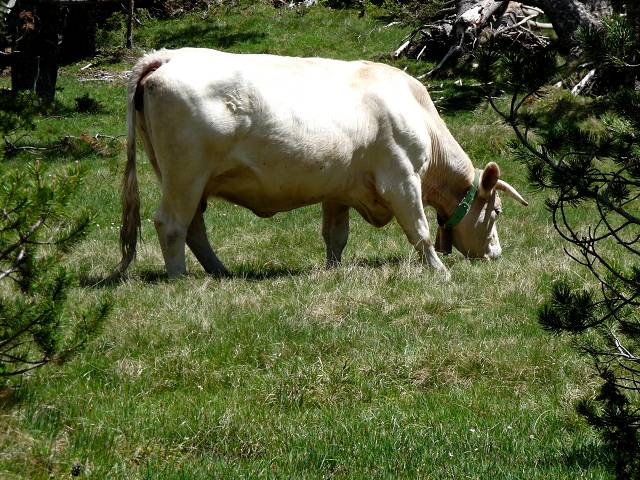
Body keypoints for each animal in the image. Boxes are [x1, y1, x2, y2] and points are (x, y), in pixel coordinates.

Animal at [111, 48, 527, 281]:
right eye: (497, 212)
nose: (496, 254)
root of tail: (167, 56)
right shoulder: (401, 178)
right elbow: (420, 230)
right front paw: (439, 272)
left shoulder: (340, 188)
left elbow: (335, 235)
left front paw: (333, 271)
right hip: (185, 176)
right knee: (171, 224)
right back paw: (180, 278)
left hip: (189, 180)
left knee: (194, 227)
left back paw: (220, 272)